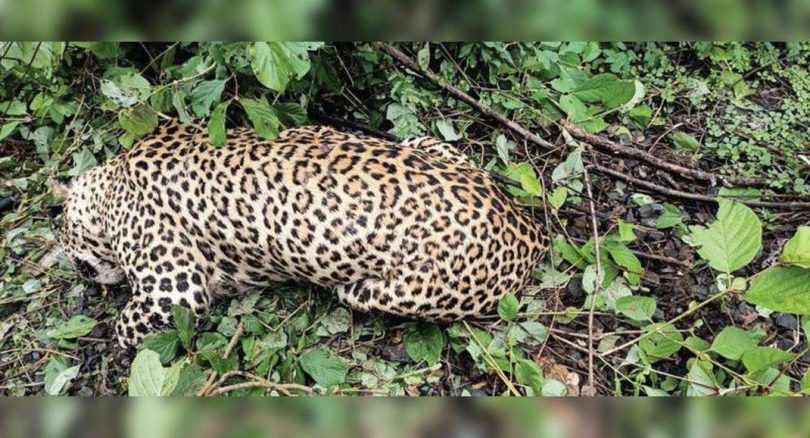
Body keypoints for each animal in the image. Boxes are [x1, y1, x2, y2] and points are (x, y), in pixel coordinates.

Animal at [54, 120, 547, 348]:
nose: (82, 273)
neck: (111, 182)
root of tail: (531, 232)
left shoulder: (173, 291)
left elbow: (127, 326)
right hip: (425, 143)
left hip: (396, 289)